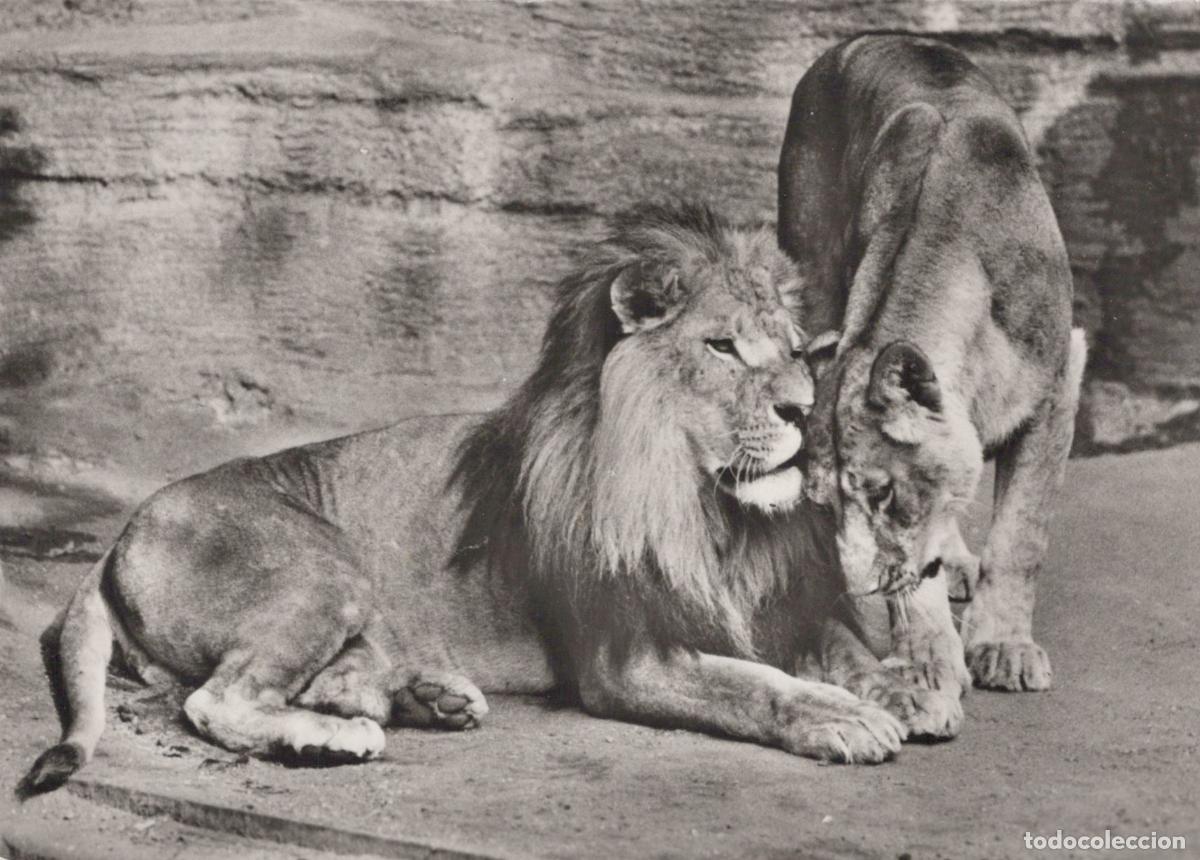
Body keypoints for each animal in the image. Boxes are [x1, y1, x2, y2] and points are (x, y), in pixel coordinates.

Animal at [20, 203, 912, 798]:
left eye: (796, 351)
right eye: (722, 347)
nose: (802, 408)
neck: (702, 505)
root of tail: (116, 537)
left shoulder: (779, 606)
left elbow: (846, 650)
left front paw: (902, 689)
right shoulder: (625, 658)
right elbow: (753, 686)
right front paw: (845, 720)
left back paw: (425, 697)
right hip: (323, 571)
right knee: (215, 699)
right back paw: (335, 736)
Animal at [777, 36, 1087, 706]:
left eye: (882, 492)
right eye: (823, 508)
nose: (859, 589)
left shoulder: (1058, 381)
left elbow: (1022, 532)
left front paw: (1003, 647)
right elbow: (914, 567)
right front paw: (923, 664)